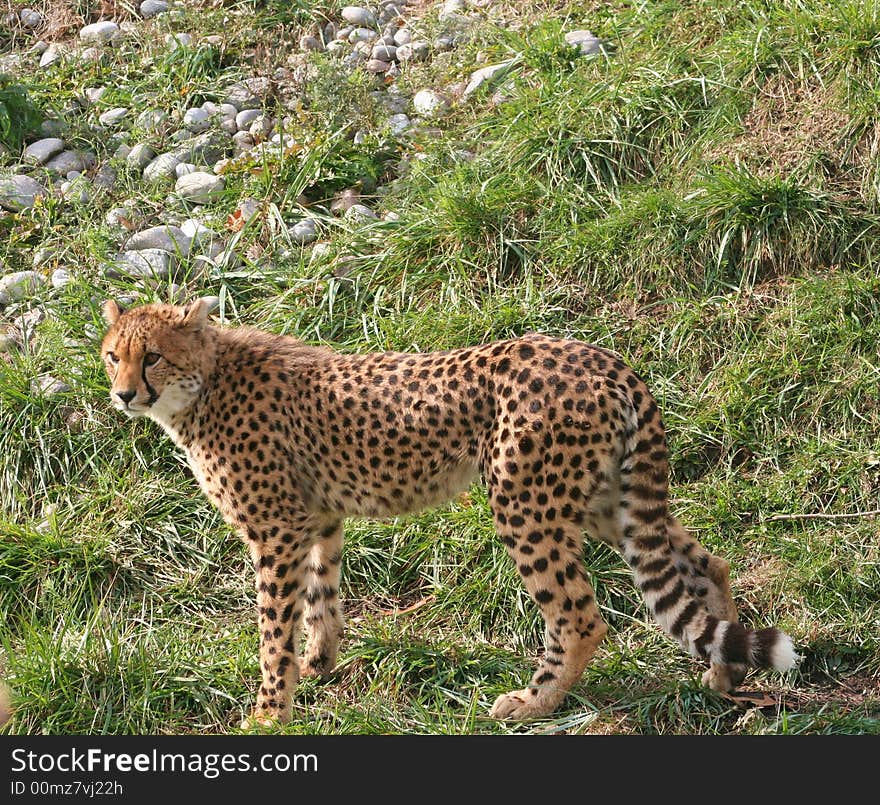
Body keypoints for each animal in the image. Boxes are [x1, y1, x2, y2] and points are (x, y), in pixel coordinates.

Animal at [99, 298, 796, 724]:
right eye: (113, 355)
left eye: (152, 355)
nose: (124, 394)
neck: (206, 380)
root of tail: (601, 357)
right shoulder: (316, 521)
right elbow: (323, 597)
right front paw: (321, 666)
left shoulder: (276, 532)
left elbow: (275, 631)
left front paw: (270, 711)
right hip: (607, 498)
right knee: (702, 561)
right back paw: (725, 672)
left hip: (524, 503)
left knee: (579, 615)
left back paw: (533, 704)